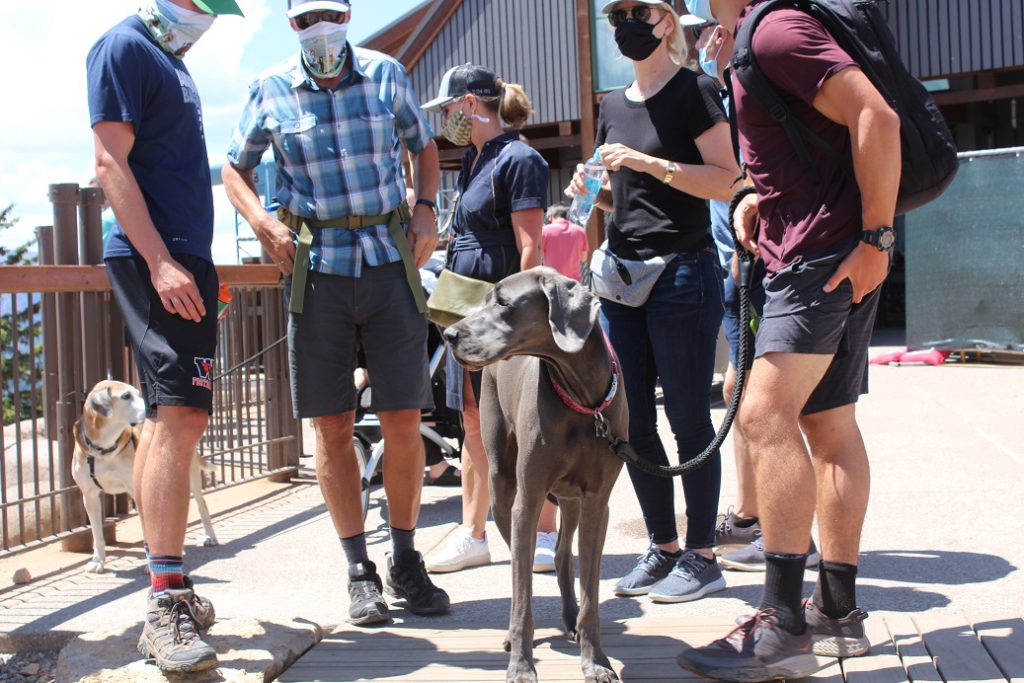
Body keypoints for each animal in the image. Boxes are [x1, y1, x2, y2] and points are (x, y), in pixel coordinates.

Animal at [72, 378, 218, 573]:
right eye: (126, 396)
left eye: (137, 392)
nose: (152, 409)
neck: (104, 450)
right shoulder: (90, 497)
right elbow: (97, 534)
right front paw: (98, 561)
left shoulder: (136, 490)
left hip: (190, 474)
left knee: (202, 506)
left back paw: (209, 536)